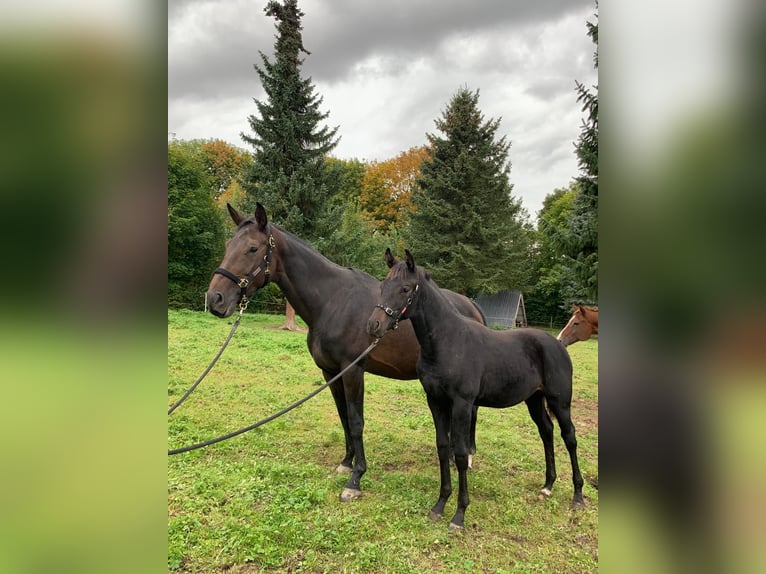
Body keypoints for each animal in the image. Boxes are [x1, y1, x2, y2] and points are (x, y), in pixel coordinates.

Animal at [206, 207, 486, 504]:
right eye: (228, 245)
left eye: (252, 248)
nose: (215, 299)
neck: (332, 301)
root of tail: (472, 306)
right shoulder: (330, 372)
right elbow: (343, 418)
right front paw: (346, 462)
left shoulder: (352, 370)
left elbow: (355, 421)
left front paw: (356, 478)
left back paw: (466, 456)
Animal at [368, 251, 584, 532]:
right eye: (383, 285)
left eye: (405, 288)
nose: (374, 325)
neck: (448, 342)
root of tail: (557, 344)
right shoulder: (435, 401)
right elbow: (442, 447)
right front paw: (440, 505)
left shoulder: (461, 404)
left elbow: (460, 454)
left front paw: (459, 514)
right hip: (534, 399)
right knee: (546, 432)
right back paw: (548, 486)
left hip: (560, 401)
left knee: (569, 437)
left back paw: (578, 496)